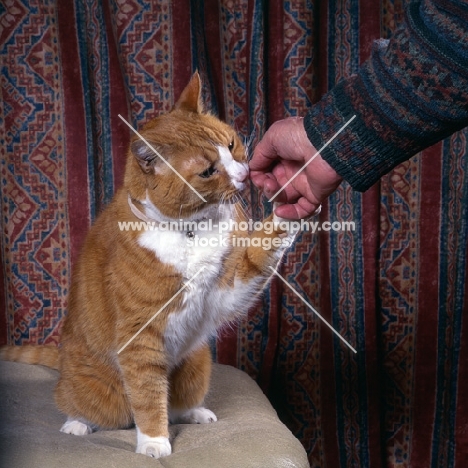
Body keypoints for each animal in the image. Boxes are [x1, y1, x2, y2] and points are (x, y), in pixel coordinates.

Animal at [0, 72, 292, 458]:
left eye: (231, 145)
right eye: (208, 171)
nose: (244, 174)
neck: (188, 231)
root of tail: (62, 358)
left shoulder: (227, 289)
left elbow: (260, 256)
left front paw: (292, 203)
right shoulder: (140, 336)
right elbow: (149, 395)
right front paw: (154, 442)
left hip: (197, 361)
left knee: (180, 401)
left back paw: (196, 412)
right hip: (96, 389)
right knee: (83, 404)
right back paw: (77, 424)